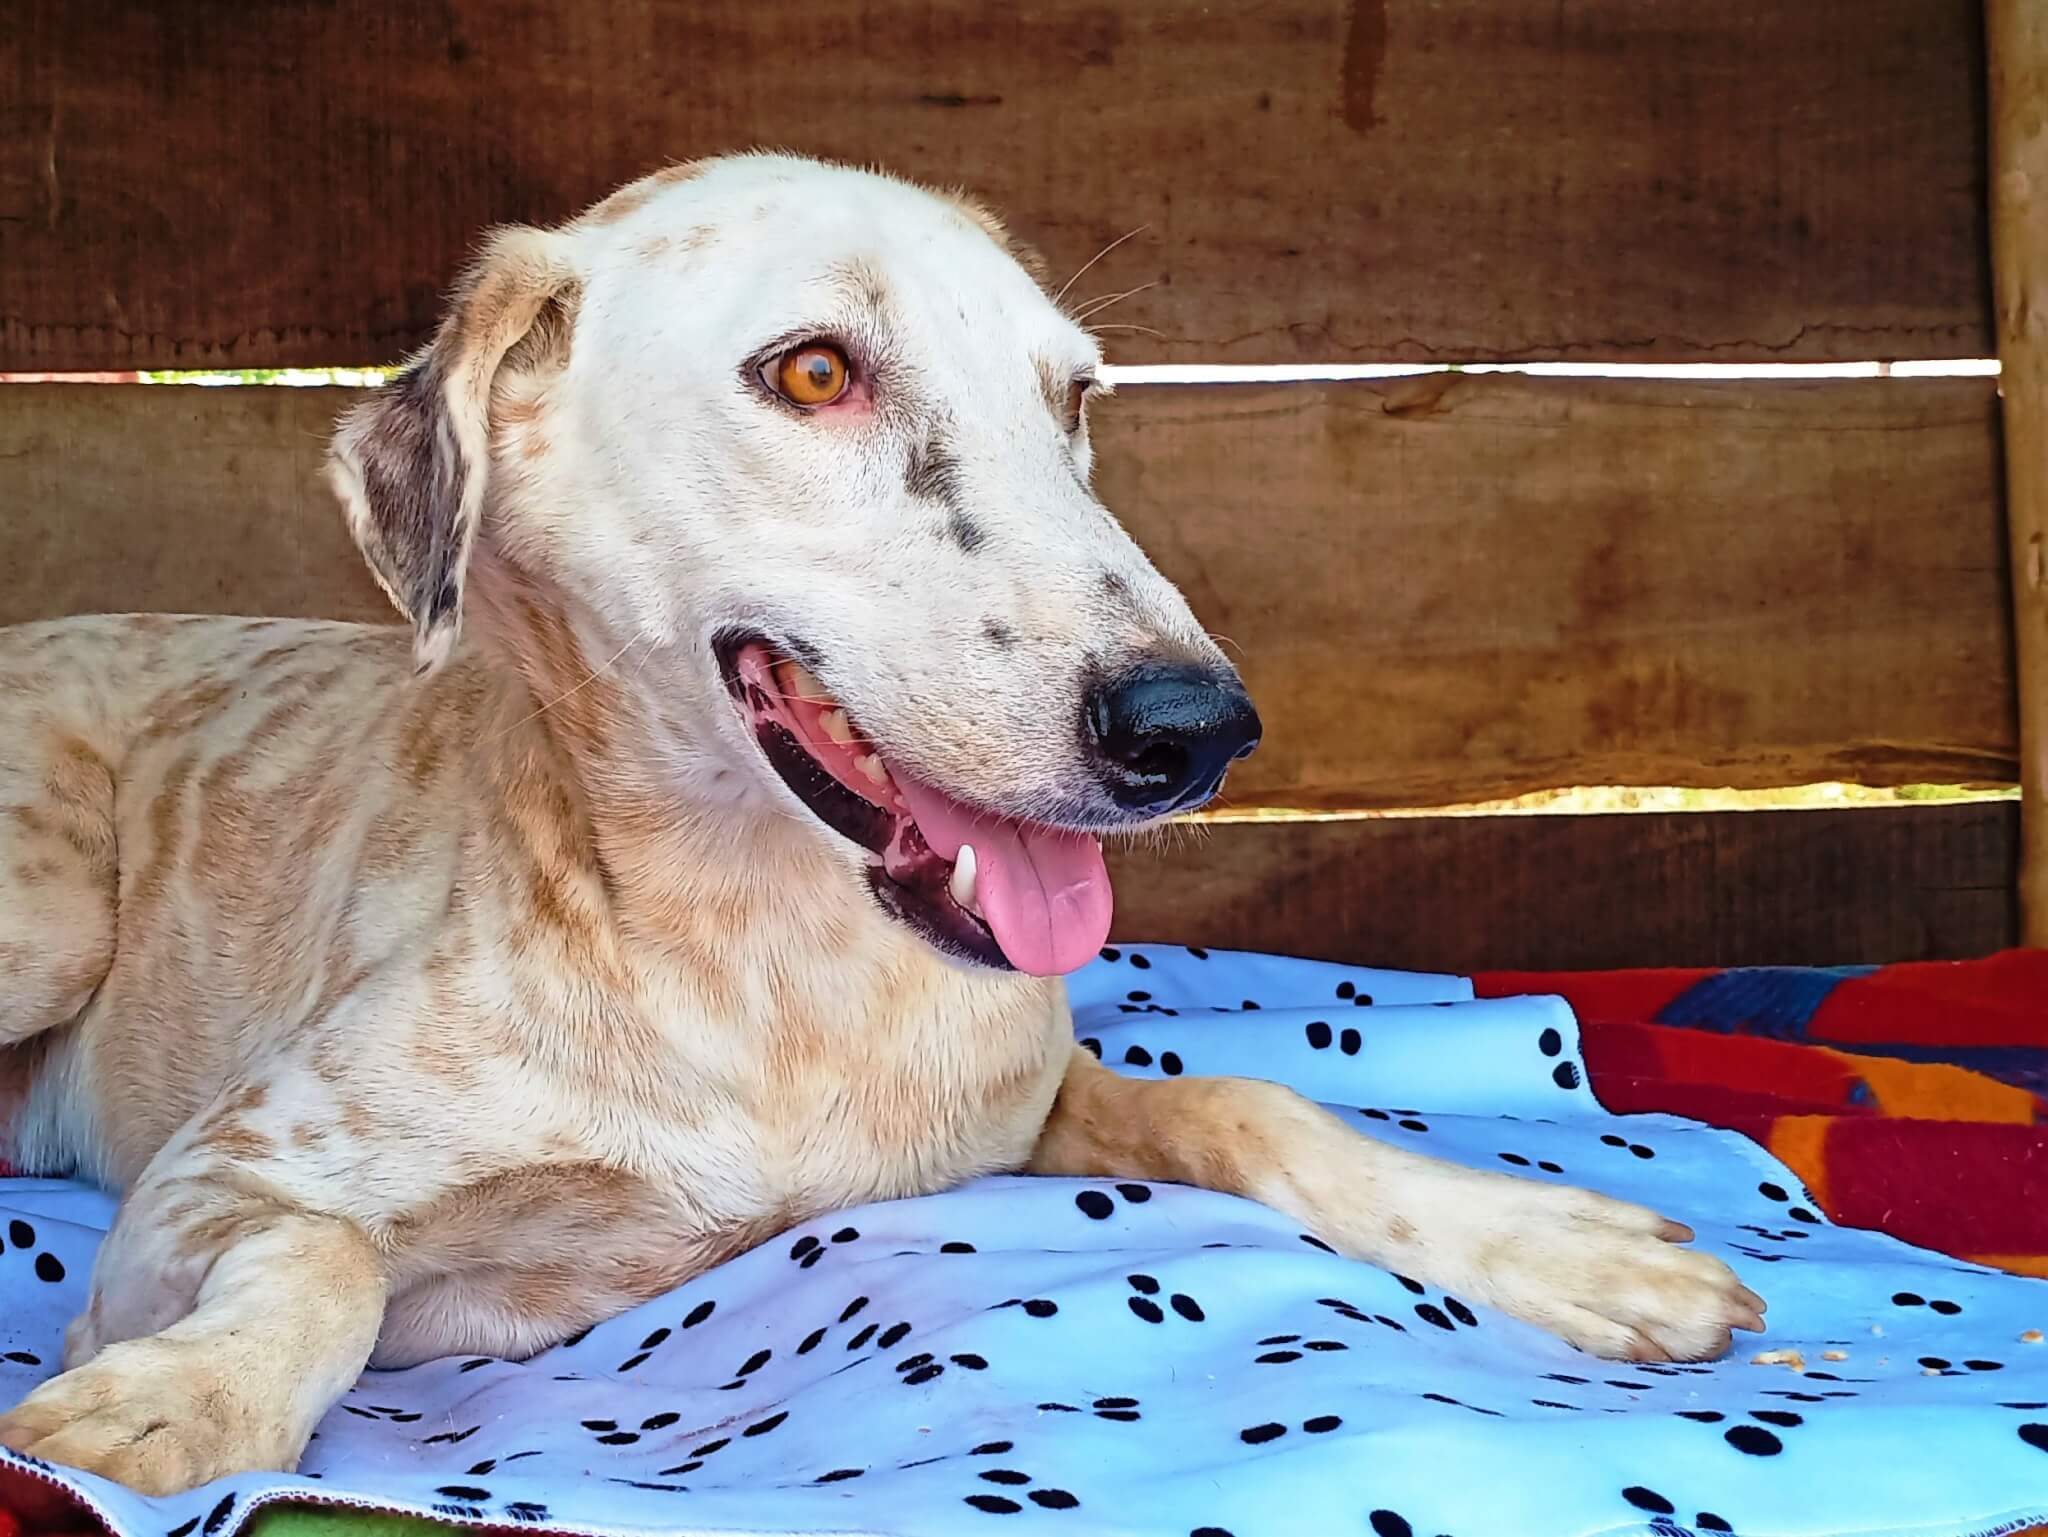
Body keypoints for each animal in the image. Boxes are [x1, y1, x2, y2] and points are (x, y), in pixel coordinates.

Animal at [0, 153, 1761, 1491]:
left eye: (1073, 397)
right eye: (814, 372)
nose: (1197, 732)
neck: (771, 969)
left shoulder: (1029, 1105)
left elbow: (1255, 1104)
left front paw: (1556, 1242)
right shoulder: (210, 1180)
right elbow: (335, 1256)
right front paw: (178, 1405)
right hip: (55, 911)